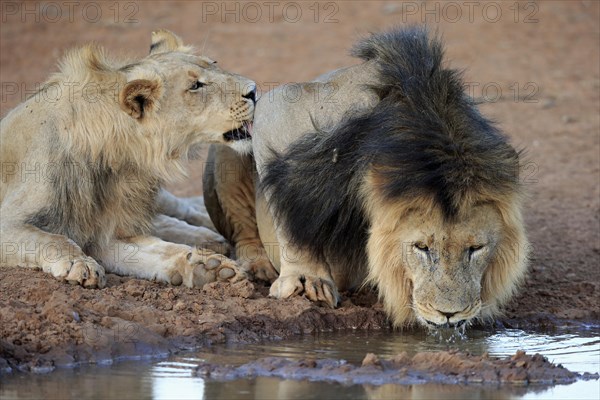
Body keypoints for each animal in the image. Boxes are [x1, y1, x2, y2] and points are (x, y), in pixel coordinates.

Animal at [0, 29, 256, 290]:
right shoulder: (11, 222)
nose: (254, 90)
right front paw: (80, 264)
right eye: (195, 86)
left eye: (215, 64)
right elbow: (55, 239)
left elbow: (158, 249)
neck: (121, 162)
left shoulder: (106, 231)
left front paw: (211, 269)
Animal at [206, 26, 528, 330]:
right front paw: (307, 279)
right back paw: (252, 266)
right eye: (421, 247)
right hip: (233, 140)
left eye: (476, 248)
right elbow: (290, 214)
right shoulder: (281, 106)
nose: (450, 315)